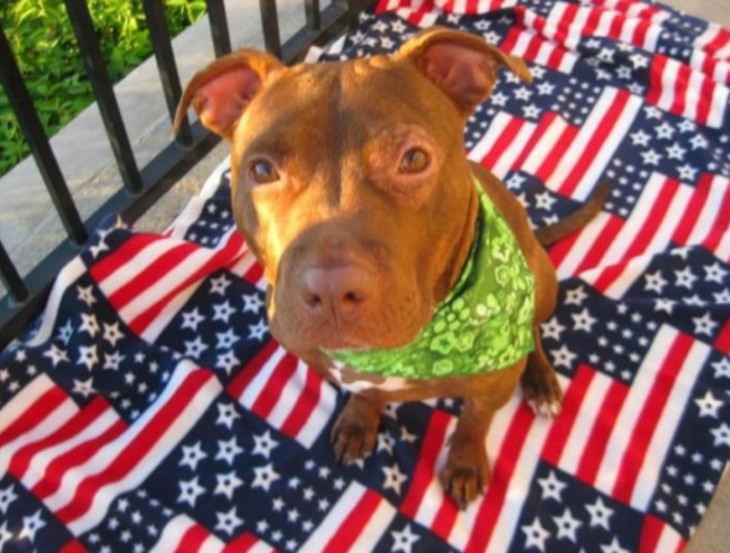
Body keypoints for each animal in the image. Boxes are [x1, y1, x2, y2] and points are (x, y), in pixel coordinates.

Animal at [173, 28, 604, 506]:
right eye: (263, 170)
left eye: (414, 159)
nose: (331, 292)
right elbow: (364, 394)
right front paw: (360, 420)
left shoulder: (492, 387)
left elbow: (474, 423)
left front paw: (465, 463)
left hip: (541, 282)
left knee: (533, 330)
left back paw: (542, 381)